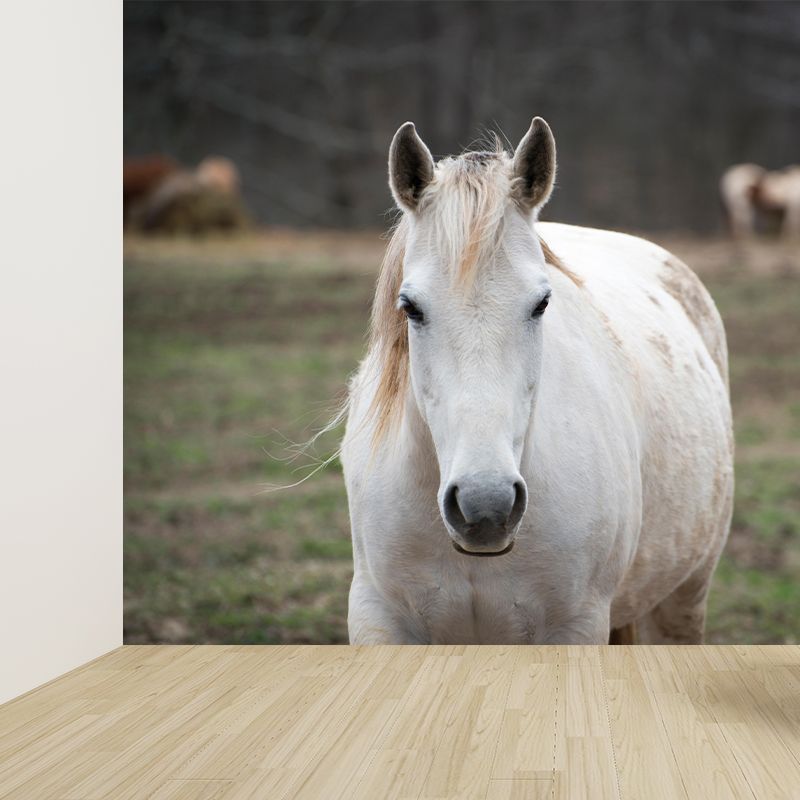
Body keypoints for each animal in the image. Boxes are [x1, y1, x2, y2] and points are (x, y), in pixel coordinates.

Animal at [340, 118, 733, 645]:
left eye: (542, 303)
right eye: (411, 307)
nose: (486, 506)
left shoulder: (577, 626)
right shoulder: (377, 618)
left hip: (683, 599)